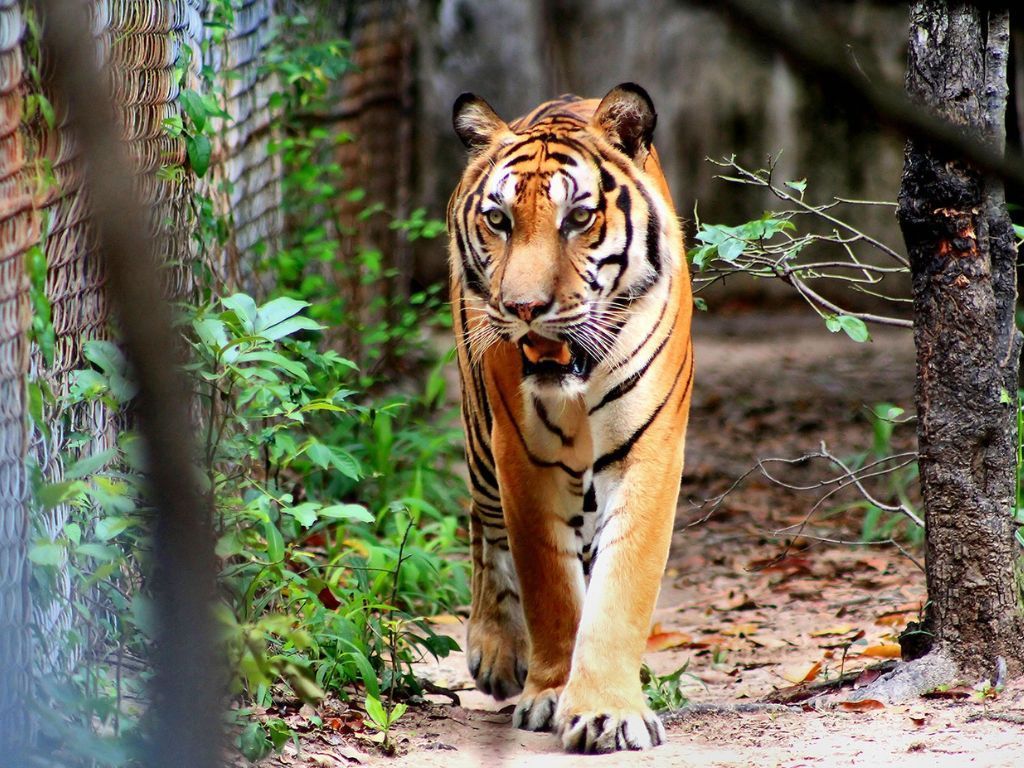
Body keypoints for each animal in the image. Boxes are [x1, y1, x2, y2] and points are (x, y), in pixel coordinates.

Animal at [448, 82, 696, 753]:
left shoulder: (648, 450)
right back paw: (496, 650)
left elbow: (621, 585)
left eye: (578, 219)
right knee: (482, 521)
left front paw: (608, 711)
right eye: (499, 219)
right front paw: (552, 693)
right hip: (480, 432)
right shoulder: (522, 456)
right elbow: (551, 587)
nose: (523, 307)